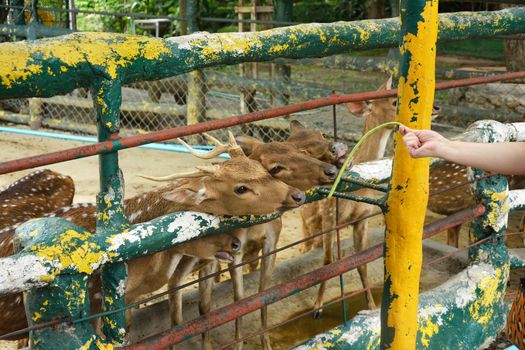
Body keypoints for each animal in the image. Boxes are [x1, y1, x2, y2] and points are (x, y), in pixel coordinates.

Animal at [175, 132, 340, 350]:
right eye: (275, 167)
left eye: (299, 151)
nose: (331, 170)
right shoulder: (237, 248)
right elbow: (239, 299)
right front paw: (238, 344)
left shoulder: (272, 241)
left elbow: (263, 292)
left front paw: (266, 342)